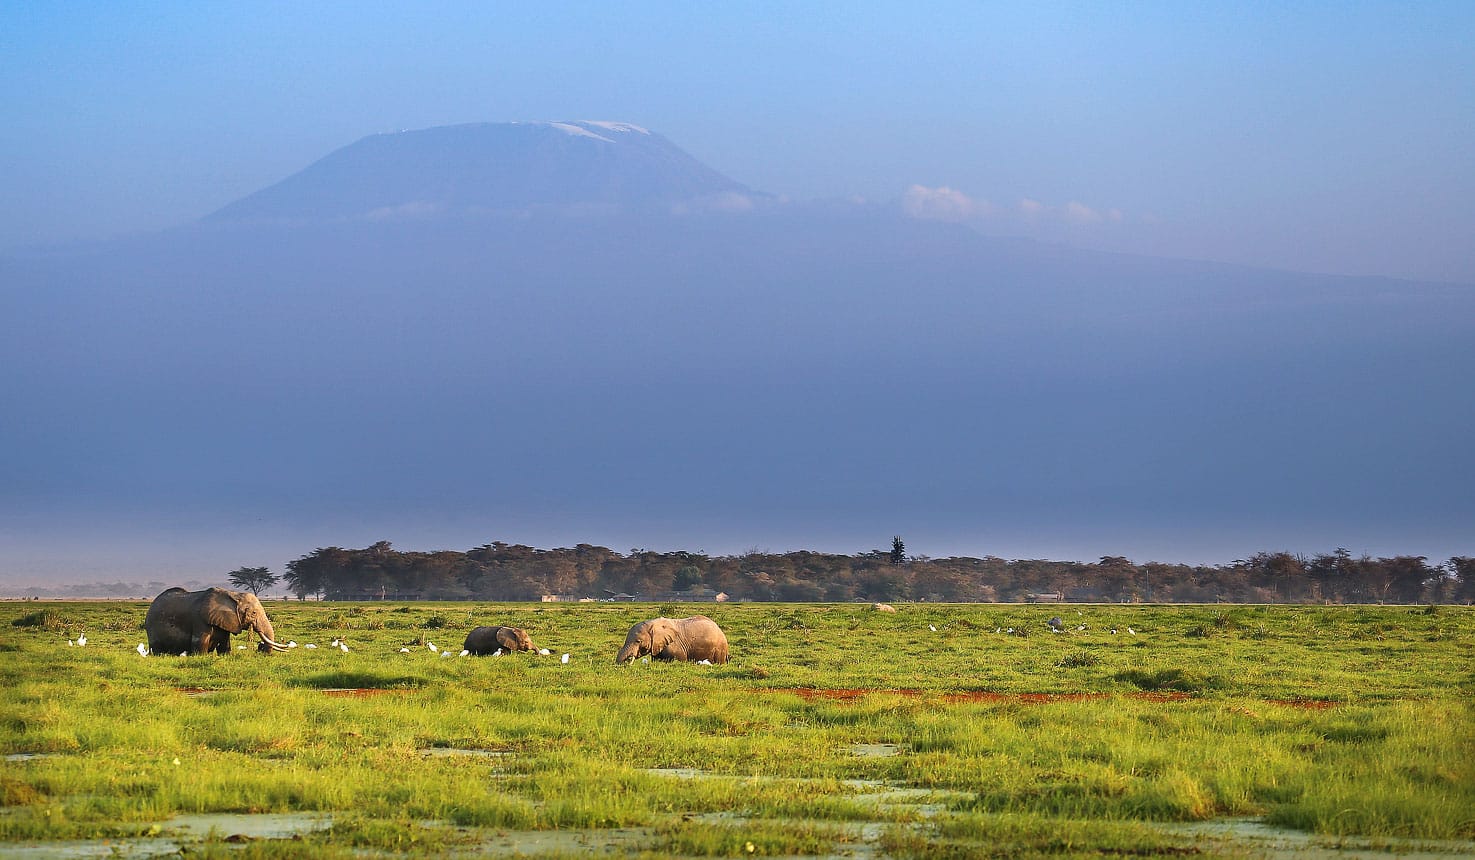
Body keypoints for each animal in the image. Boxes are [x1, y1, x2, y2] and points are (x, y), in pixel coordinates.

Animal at [144, 587, 289, 655]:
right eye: (253, 613)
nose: (259, 647)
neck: (233, 595)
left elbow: (224, 646)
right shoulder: (200, 620)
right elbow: (199, 644)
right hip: (153, 628)